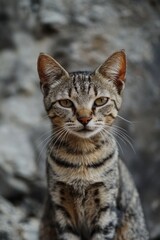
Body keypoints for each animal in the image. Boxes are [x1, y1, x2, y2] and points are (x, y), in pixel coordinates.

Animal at [37, 49, 149, 239]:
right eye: (65, 102)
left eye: (100, 101)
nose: (84, 118)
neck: (82, 156)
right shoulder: (60, 208)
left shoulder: (107, 208)